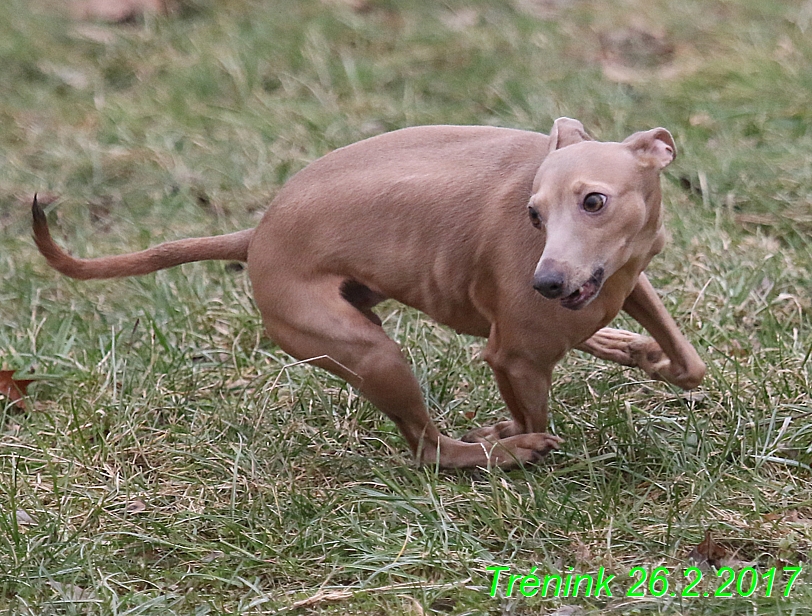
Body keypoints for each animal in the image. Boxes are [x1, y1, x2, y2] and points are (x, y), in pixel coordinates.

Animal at [33, 118, 704, 470]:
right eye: (533, 215)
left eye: (594, 201)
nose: (545, 283)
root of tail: (257, 233)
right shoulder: (513, 355)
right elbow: (527, 406)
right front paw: (511, 436)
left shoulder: (628, 282)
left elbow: (687, 363)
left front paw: (643, 352)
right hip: (373, 354)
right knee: (430, 449)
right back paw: (502, 451)